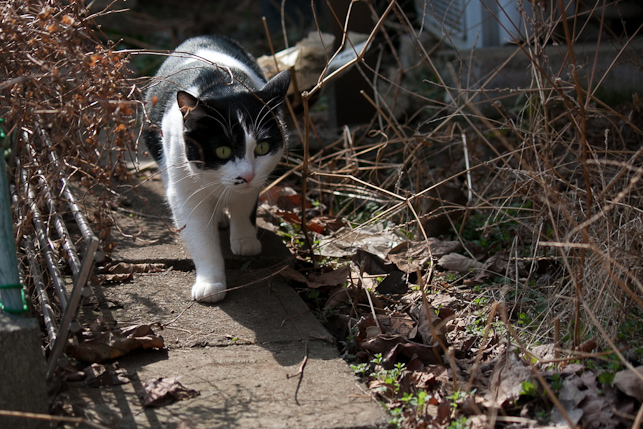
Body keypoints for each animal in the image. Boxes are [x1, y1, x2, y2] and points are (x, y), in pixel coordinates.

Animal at [145, 35, 294, 300]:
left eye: (263, 147)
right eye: (223, 151)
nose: (247, 175)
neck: (223, 86)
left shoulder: (255, 182)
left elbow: (244, 206)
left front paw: (244, 239)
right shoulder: (184, 191)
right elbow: (200, 237)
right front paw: (210, 283)